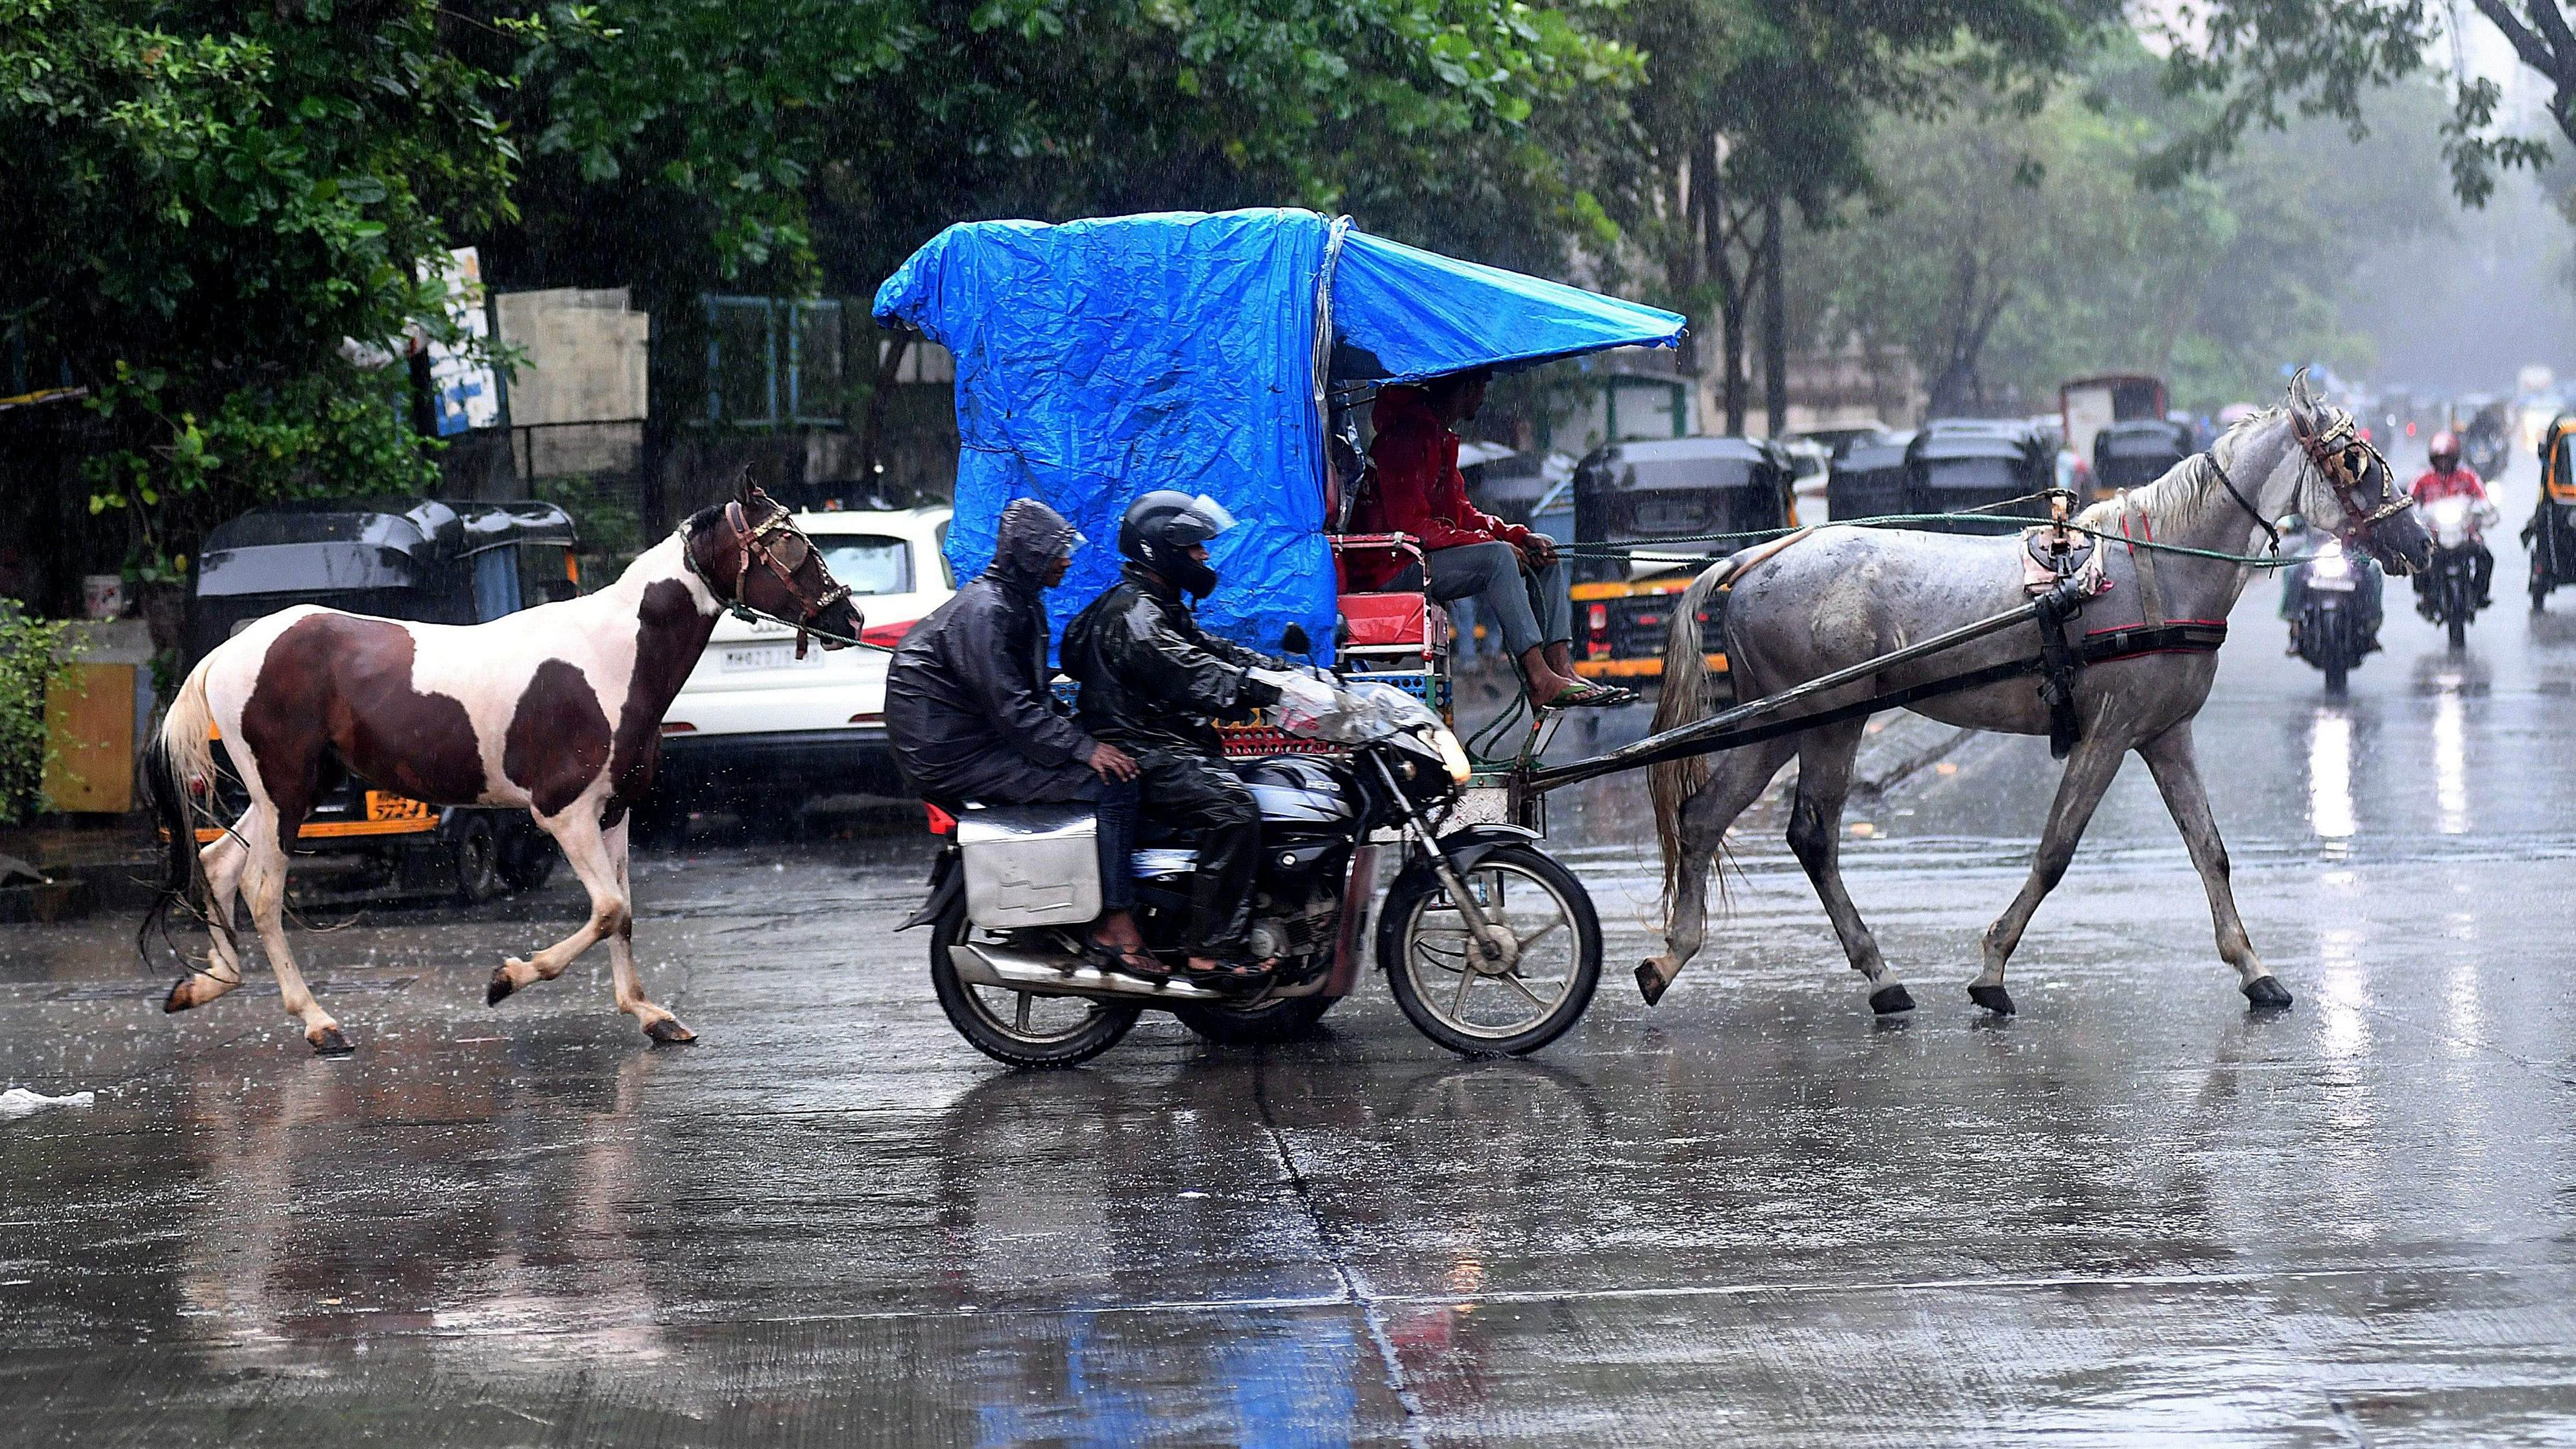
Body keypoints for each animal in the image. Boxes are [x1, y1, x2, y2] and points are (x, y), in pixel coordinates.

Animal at [146, 481, 860, 1060]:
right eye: (788, 544)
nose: (846, 616)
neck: (612, 658)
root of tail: (230, 650)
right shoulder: (563, 813)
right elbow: (606, 910)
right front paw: (506, 980)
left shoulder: (614, 812)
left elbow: (624, 912)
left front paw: (652, 1016)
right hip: (285, 793)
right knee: (262, 891)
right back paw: (320, 1024)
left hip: (285, 793)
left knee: (218, 866)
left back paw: (203, 985)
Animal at [1638, 378, 2421, 1019]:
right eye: (2352, 462)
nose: (2417, 541)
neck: (2159, 569)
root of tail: (1758, 556)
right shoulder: (2108, 733)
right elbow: (2054, 852)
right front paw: (1992, 969)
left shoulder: (2163, 733)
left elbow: (2209, 850)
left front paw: (2252, 968)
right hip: (1829, 718)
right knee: (1811, 835)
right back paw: (1878, 975)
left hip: (1779, 718)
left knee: (1703, 816)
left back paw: (1674, 954)